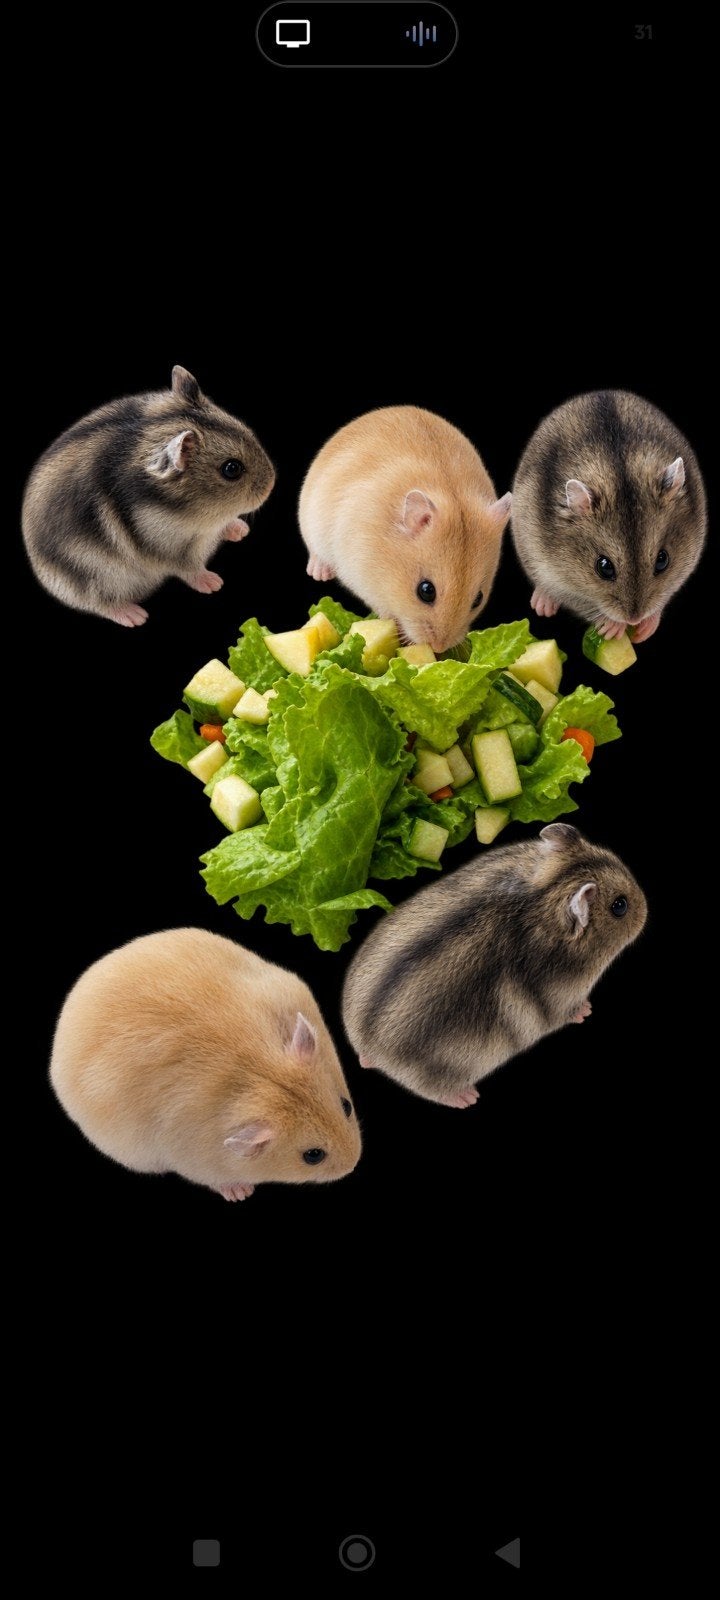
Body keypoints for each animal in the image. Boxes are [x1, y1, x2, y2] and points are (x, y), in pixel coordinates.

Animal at [22, 366, 275, 627]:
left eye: (248, 432)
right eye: (231, 469)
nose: (272, 483)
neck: (196, 512)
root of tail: (43, 573)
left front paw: (241, 530)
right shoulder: (168, 548)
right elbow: (189, 568)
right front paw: (214, 583)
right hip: (92, 575)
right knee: (99, 602)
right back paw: (135, 616)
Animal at [50, 928, 361, 1200]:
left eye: (347, 1106)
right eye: (313, 1156)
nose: (355, 1163)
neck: (259, 1075)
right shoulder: (196, 1161)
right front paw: (240, 1194)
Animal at [298, 406, 512, 652]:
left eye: (478, 598)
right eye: (426, 591)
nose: (438, 648)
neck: (390, 560)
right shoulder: (363, 576)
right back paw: (319, 572)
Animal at [342, 824, 646, 1109]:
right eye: (620, 905)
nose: (646, 906)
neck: (544, 895)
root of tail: (366, 1042)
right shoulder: (564, 998)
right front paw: (587, 1010)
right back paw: (468, 1098)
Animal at [511, 390, 706, 643]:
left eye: (663, 560)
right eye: (604, 567)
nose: (634, 620)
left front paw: (644, 630)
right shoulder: (556, 575)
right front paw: (613, 627)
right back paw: (542, 605)